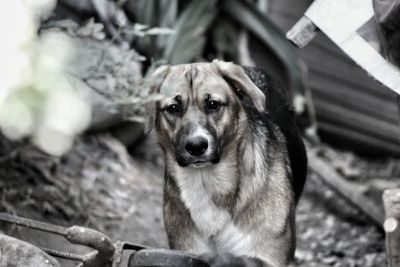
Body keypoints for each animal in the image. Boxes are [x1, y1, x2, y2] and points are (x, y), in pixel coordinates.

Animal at [145, 60, 308, 267]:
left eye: (213, 104)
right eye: (173, 108)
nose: (196, 146)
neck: (208, 182)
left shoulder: (269, 258)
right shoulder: (187, 251)